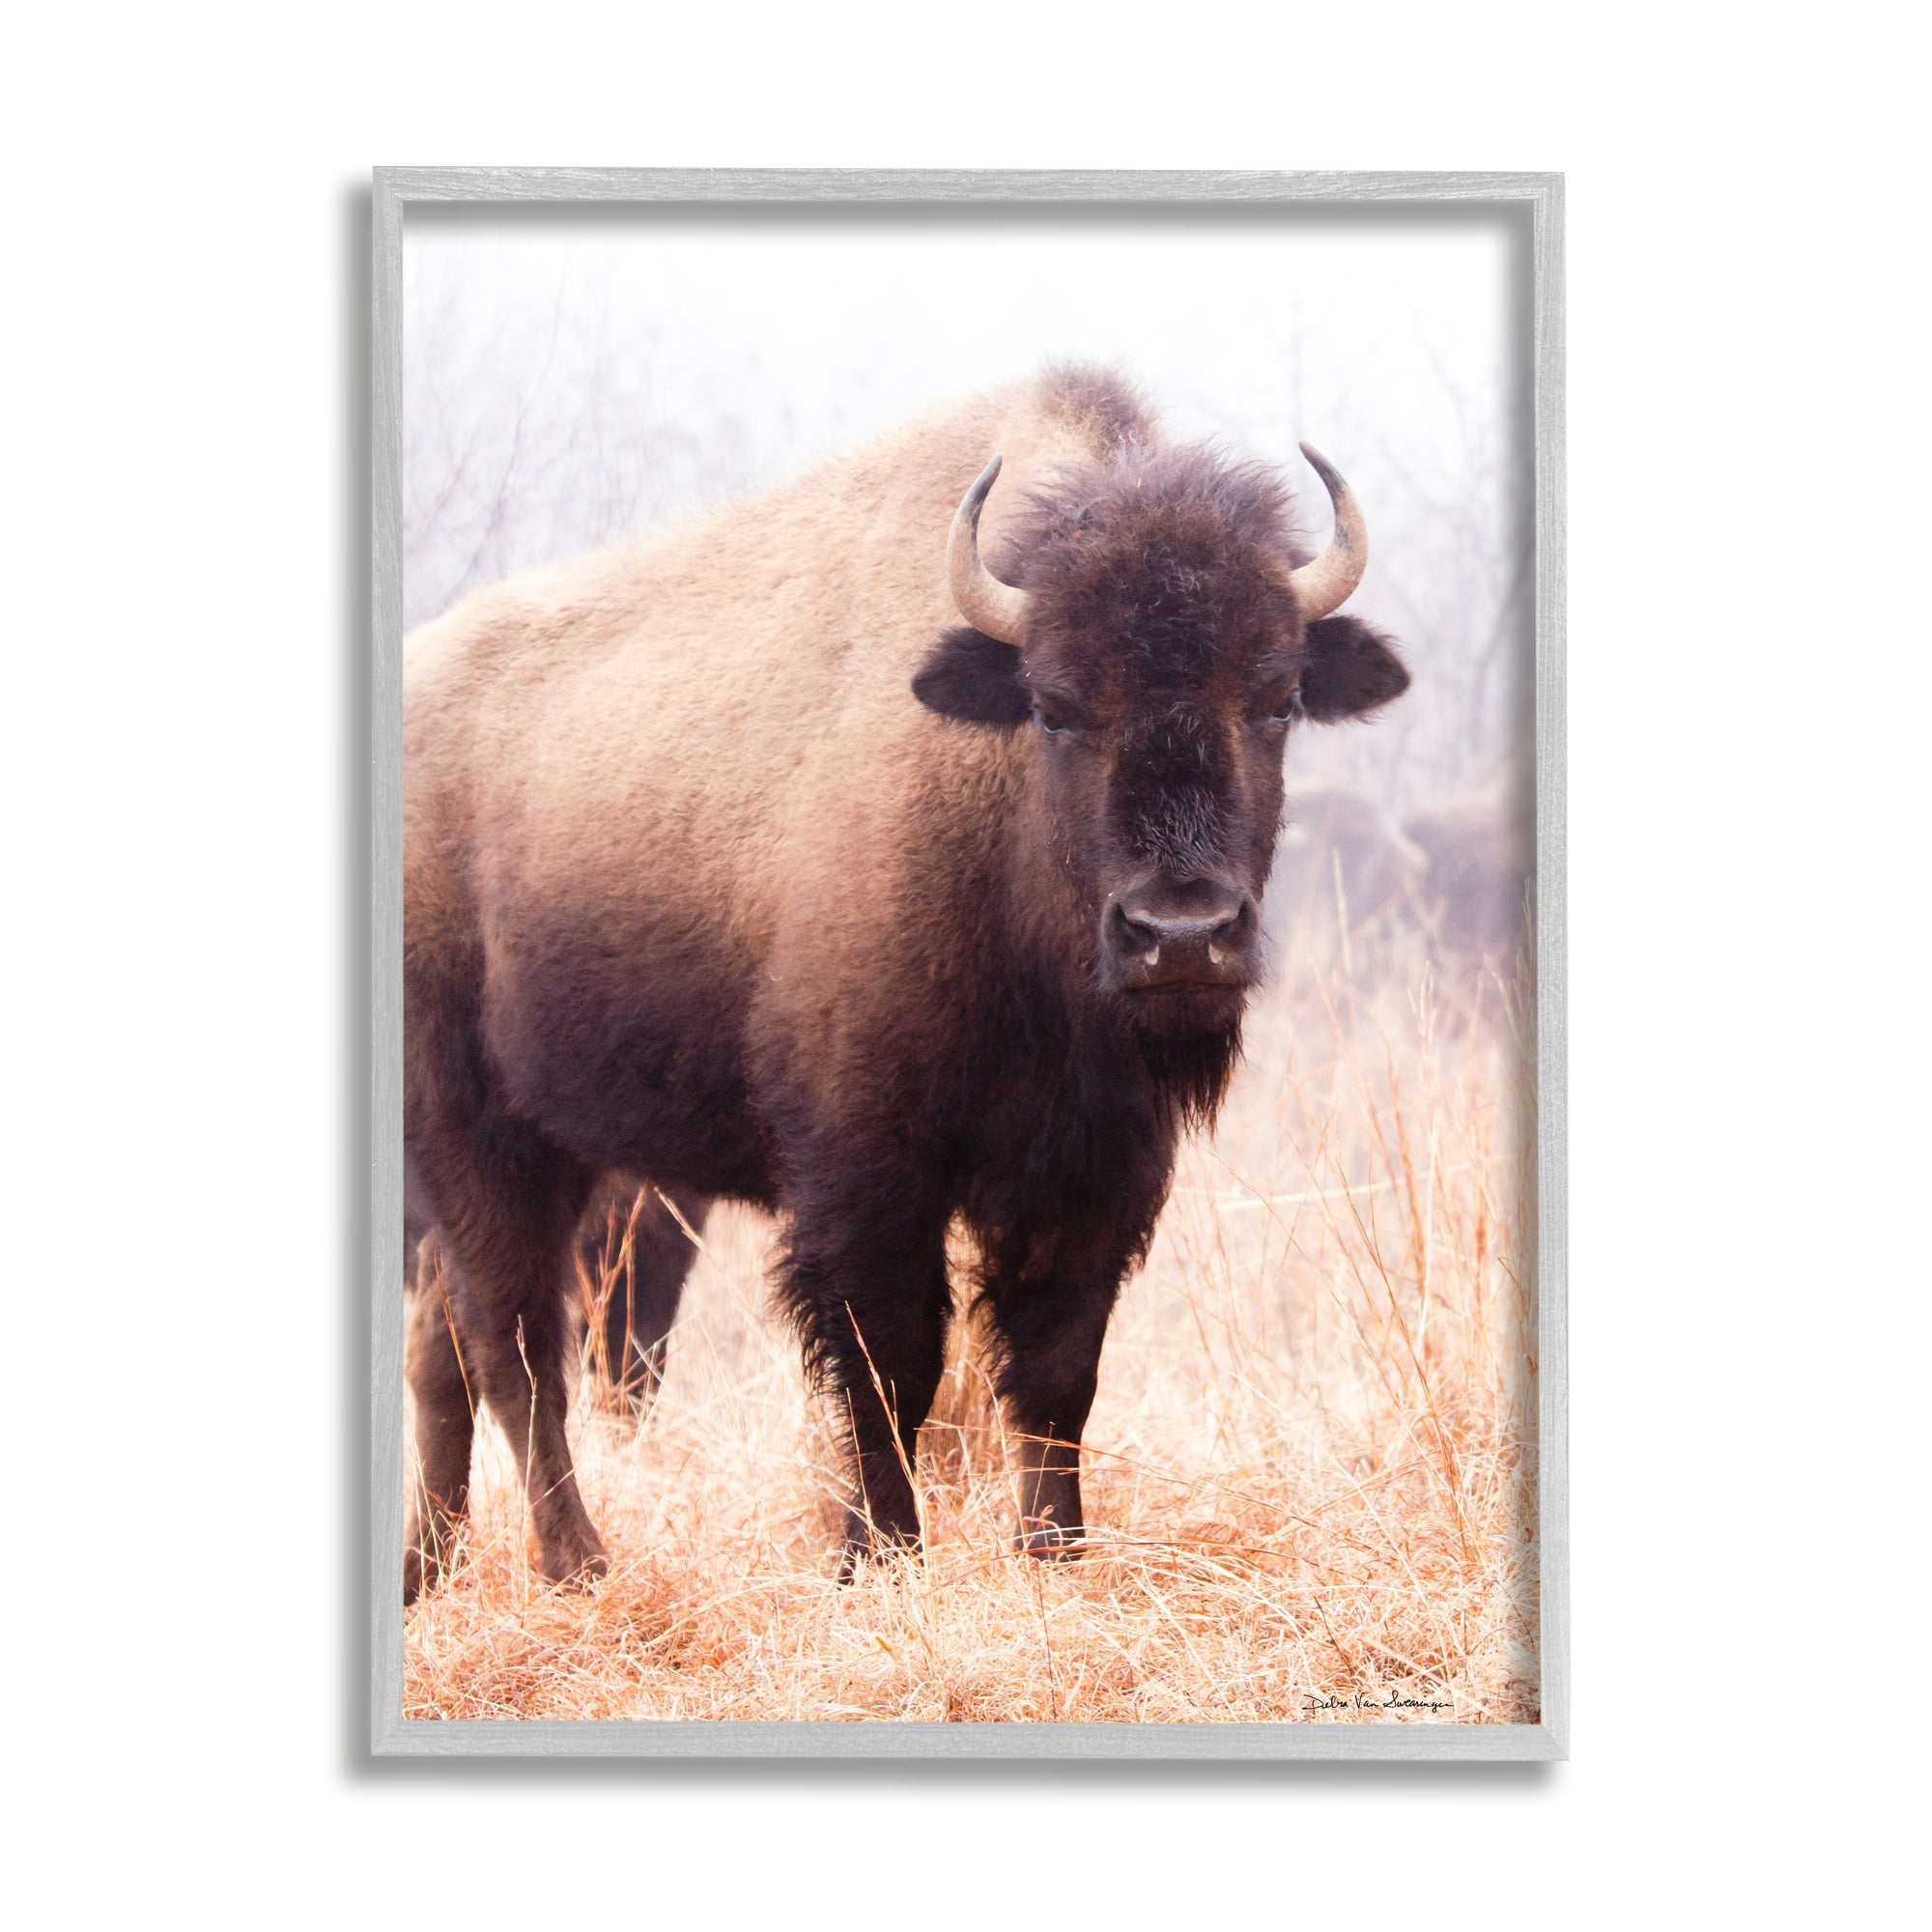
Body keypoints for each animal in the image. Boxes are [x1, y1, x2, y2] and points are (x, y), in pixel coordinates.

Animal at [401, 366, 1410, 1601]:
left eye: (1272, 699)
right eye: (1055, 705)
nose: (1180, 933)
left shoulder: (1099, 1169)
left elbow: (1055, 1364)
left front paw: (1053, 1550)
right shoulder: (865, 1165)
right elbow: (890, 1360)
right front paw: (876, 1552)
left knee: (446, 1345)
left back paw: (429, 1568)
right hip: (478, 1134)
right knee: (513, 1344)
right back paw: (574, 1563)